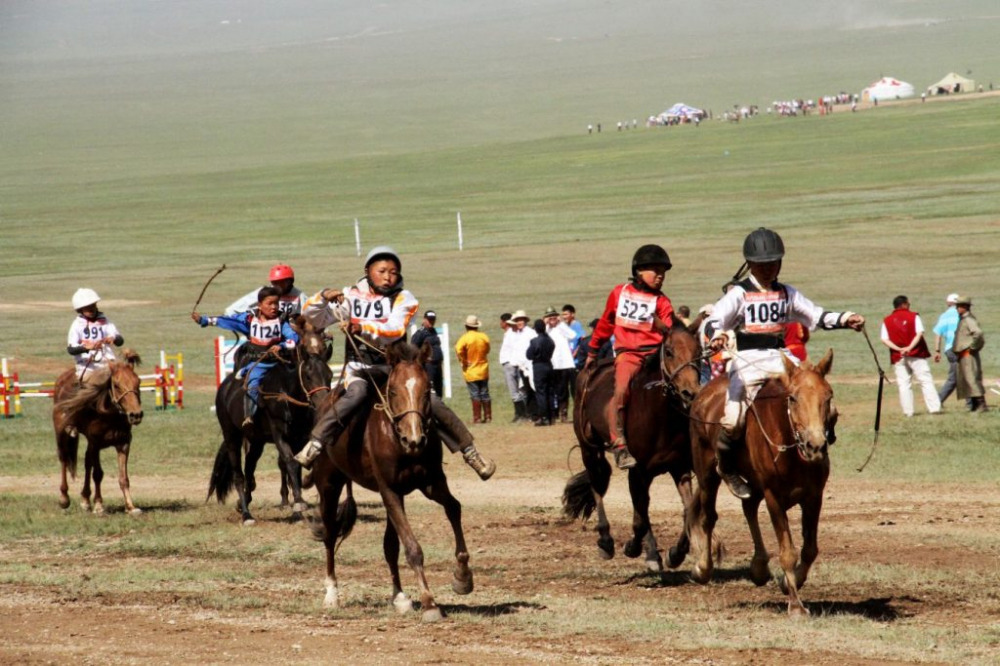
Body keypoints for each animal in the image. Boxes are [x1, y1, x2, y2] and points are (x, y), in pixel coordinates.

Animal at [52, 350, 144, 516]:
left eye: (138, 382)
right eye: (116, 385)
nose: (136, 415)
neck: (109, 414)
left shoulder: (123, 443)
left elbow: (123, 478)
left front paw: (130, 507)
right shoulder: (95, 442)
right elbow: (98, 474)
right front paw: (99, 505)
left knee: (86, 462)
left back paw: (85, 499)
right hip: (61, 434)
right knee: (64, 460)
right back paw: (64, 498)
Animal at [310, 340, 474, 620]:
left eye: (426, 390)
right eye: (394, 391)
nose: (414, 439)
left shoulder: (432, 482)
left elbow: (454, 508)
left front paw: (462, 578)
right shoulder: (389, 490)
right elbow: (412, 547)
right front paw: (430, 603)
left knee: (389, 545)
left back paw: (399, 596)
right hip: (329, 484)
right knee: (330, 535)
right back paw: (331, 594)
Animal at [564, 322, 704, 572]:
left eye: (698, 351)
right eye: (669, 352)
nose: (690, 392)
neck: (660, 417)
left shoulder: (679, 467)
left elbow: (687, 511)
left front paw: (675, 554)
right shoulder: (638, 471)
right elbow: (639, 517)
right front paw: (633, 547)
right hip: (589, 449)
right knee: (598, 486)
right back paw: (607, 542)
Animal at [688, 350, 836, 616]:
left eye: (828, 396)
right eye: (793, 398)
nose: (815, 446)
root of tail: (704, 394)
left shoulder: (814, 496)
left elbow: (810, 549)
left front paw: (788, 583)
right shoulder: (773, 496)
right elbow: (788, 552)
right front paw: (796, 606)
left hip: (753, 484)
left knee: (748, 507)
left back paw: (759, 567)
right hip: (706, 474)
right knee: (708, 516)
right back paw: (703, 568)